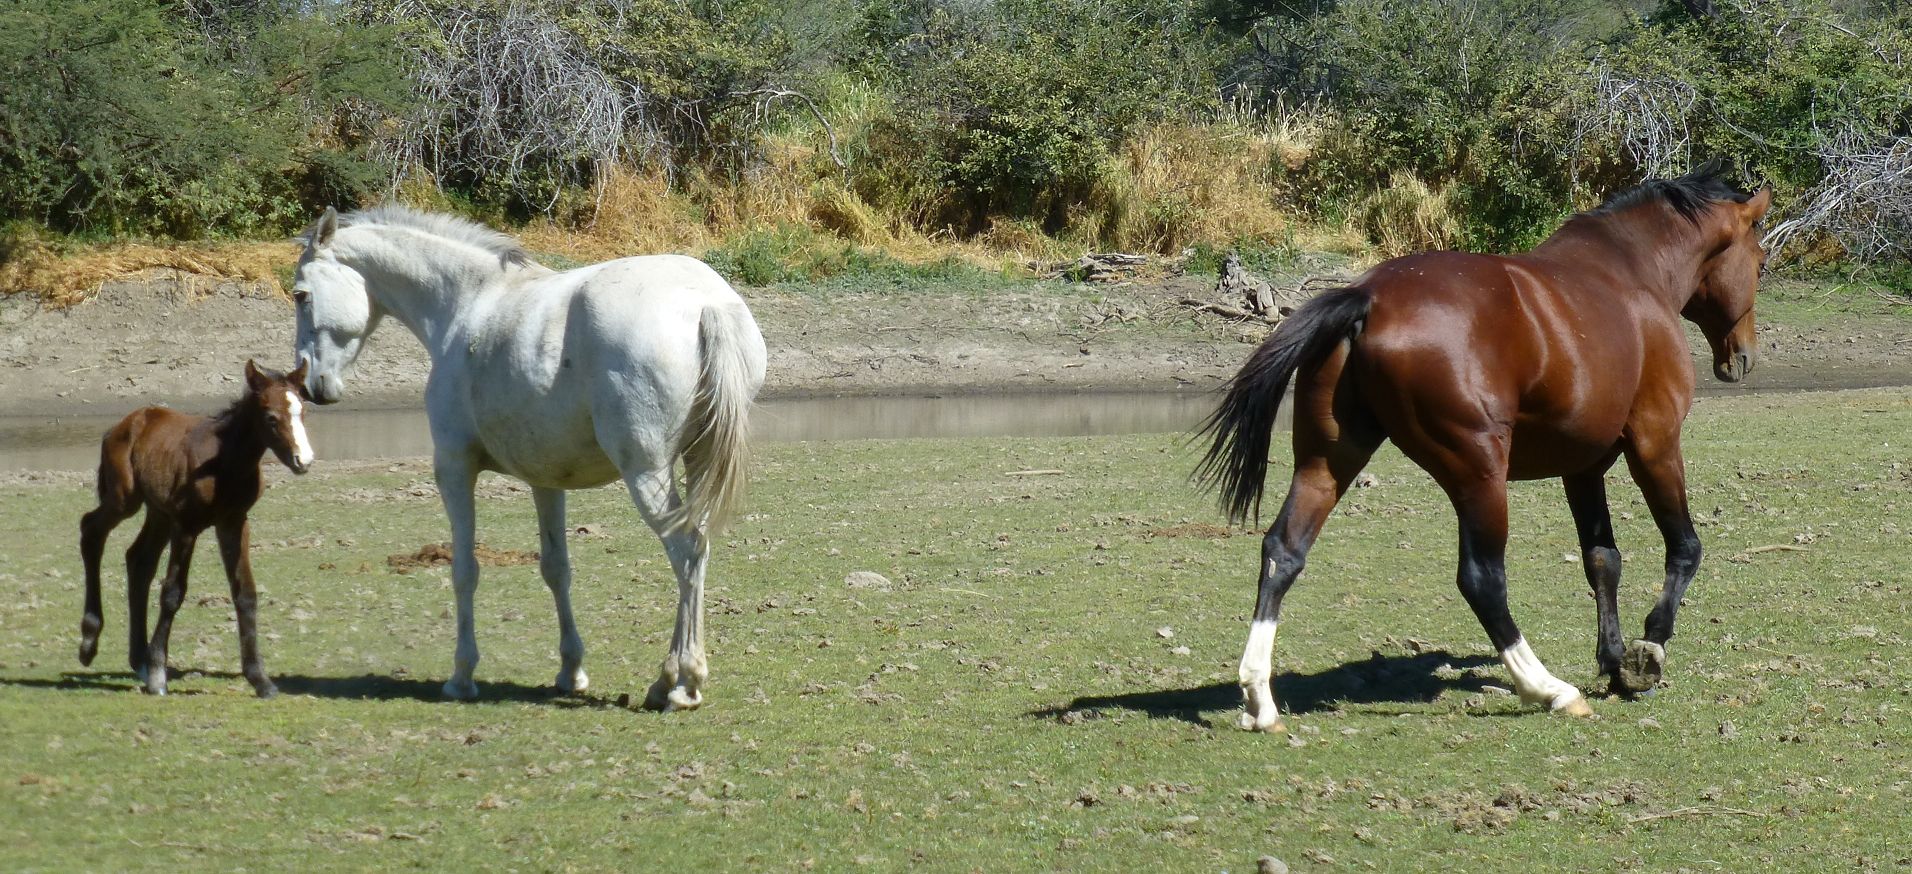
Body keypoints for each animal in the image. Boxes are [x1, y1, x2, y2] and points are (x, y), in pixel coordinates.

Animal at [77, 355, 313, 696]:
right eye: (271, 418)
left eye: (302, 412)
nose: (303, 460)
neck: (225, 464)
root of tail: (121, 426)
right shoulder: (187, 526)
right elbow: (173, 592)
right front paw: (159, 676)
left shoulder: (233, 523)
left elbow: (245, 593)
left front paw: (260, 679)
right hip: (125, 499)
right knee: (91, 531)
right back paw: (89, 642)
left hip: (159, 513)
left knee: (139, 560)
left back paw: (139, 660)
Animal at [284, 204, 760, 707]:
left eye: (300, 295)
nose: (311, 385)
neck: (468, 305)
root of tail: (704, 304)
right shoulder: (546, 481)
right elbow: (556, 568)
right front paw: (571, 671)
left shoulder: (454, 469)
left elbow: (464, 570)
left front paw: (462, 676)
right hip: (696, 462)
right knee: (699, 549)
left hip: (647, 473)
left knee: (685, 551)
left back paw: (678, 681)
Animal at [1200, 163, 1766, 730]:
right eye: (1760, 261)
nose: (1742, 358)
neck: (1633, 273)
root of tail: (1369, 298)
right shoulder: (1655, 441)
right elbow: (1684, 548)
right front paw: (1647, 652)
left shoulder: (1583, 468)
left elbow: (1603, 559)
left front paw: (1612, 663)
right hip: (1480, 474)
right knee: (1482, 579)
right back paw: (1548, 689)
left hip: (1328, 462)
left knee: (1283, 551)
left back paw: (1259, 700)